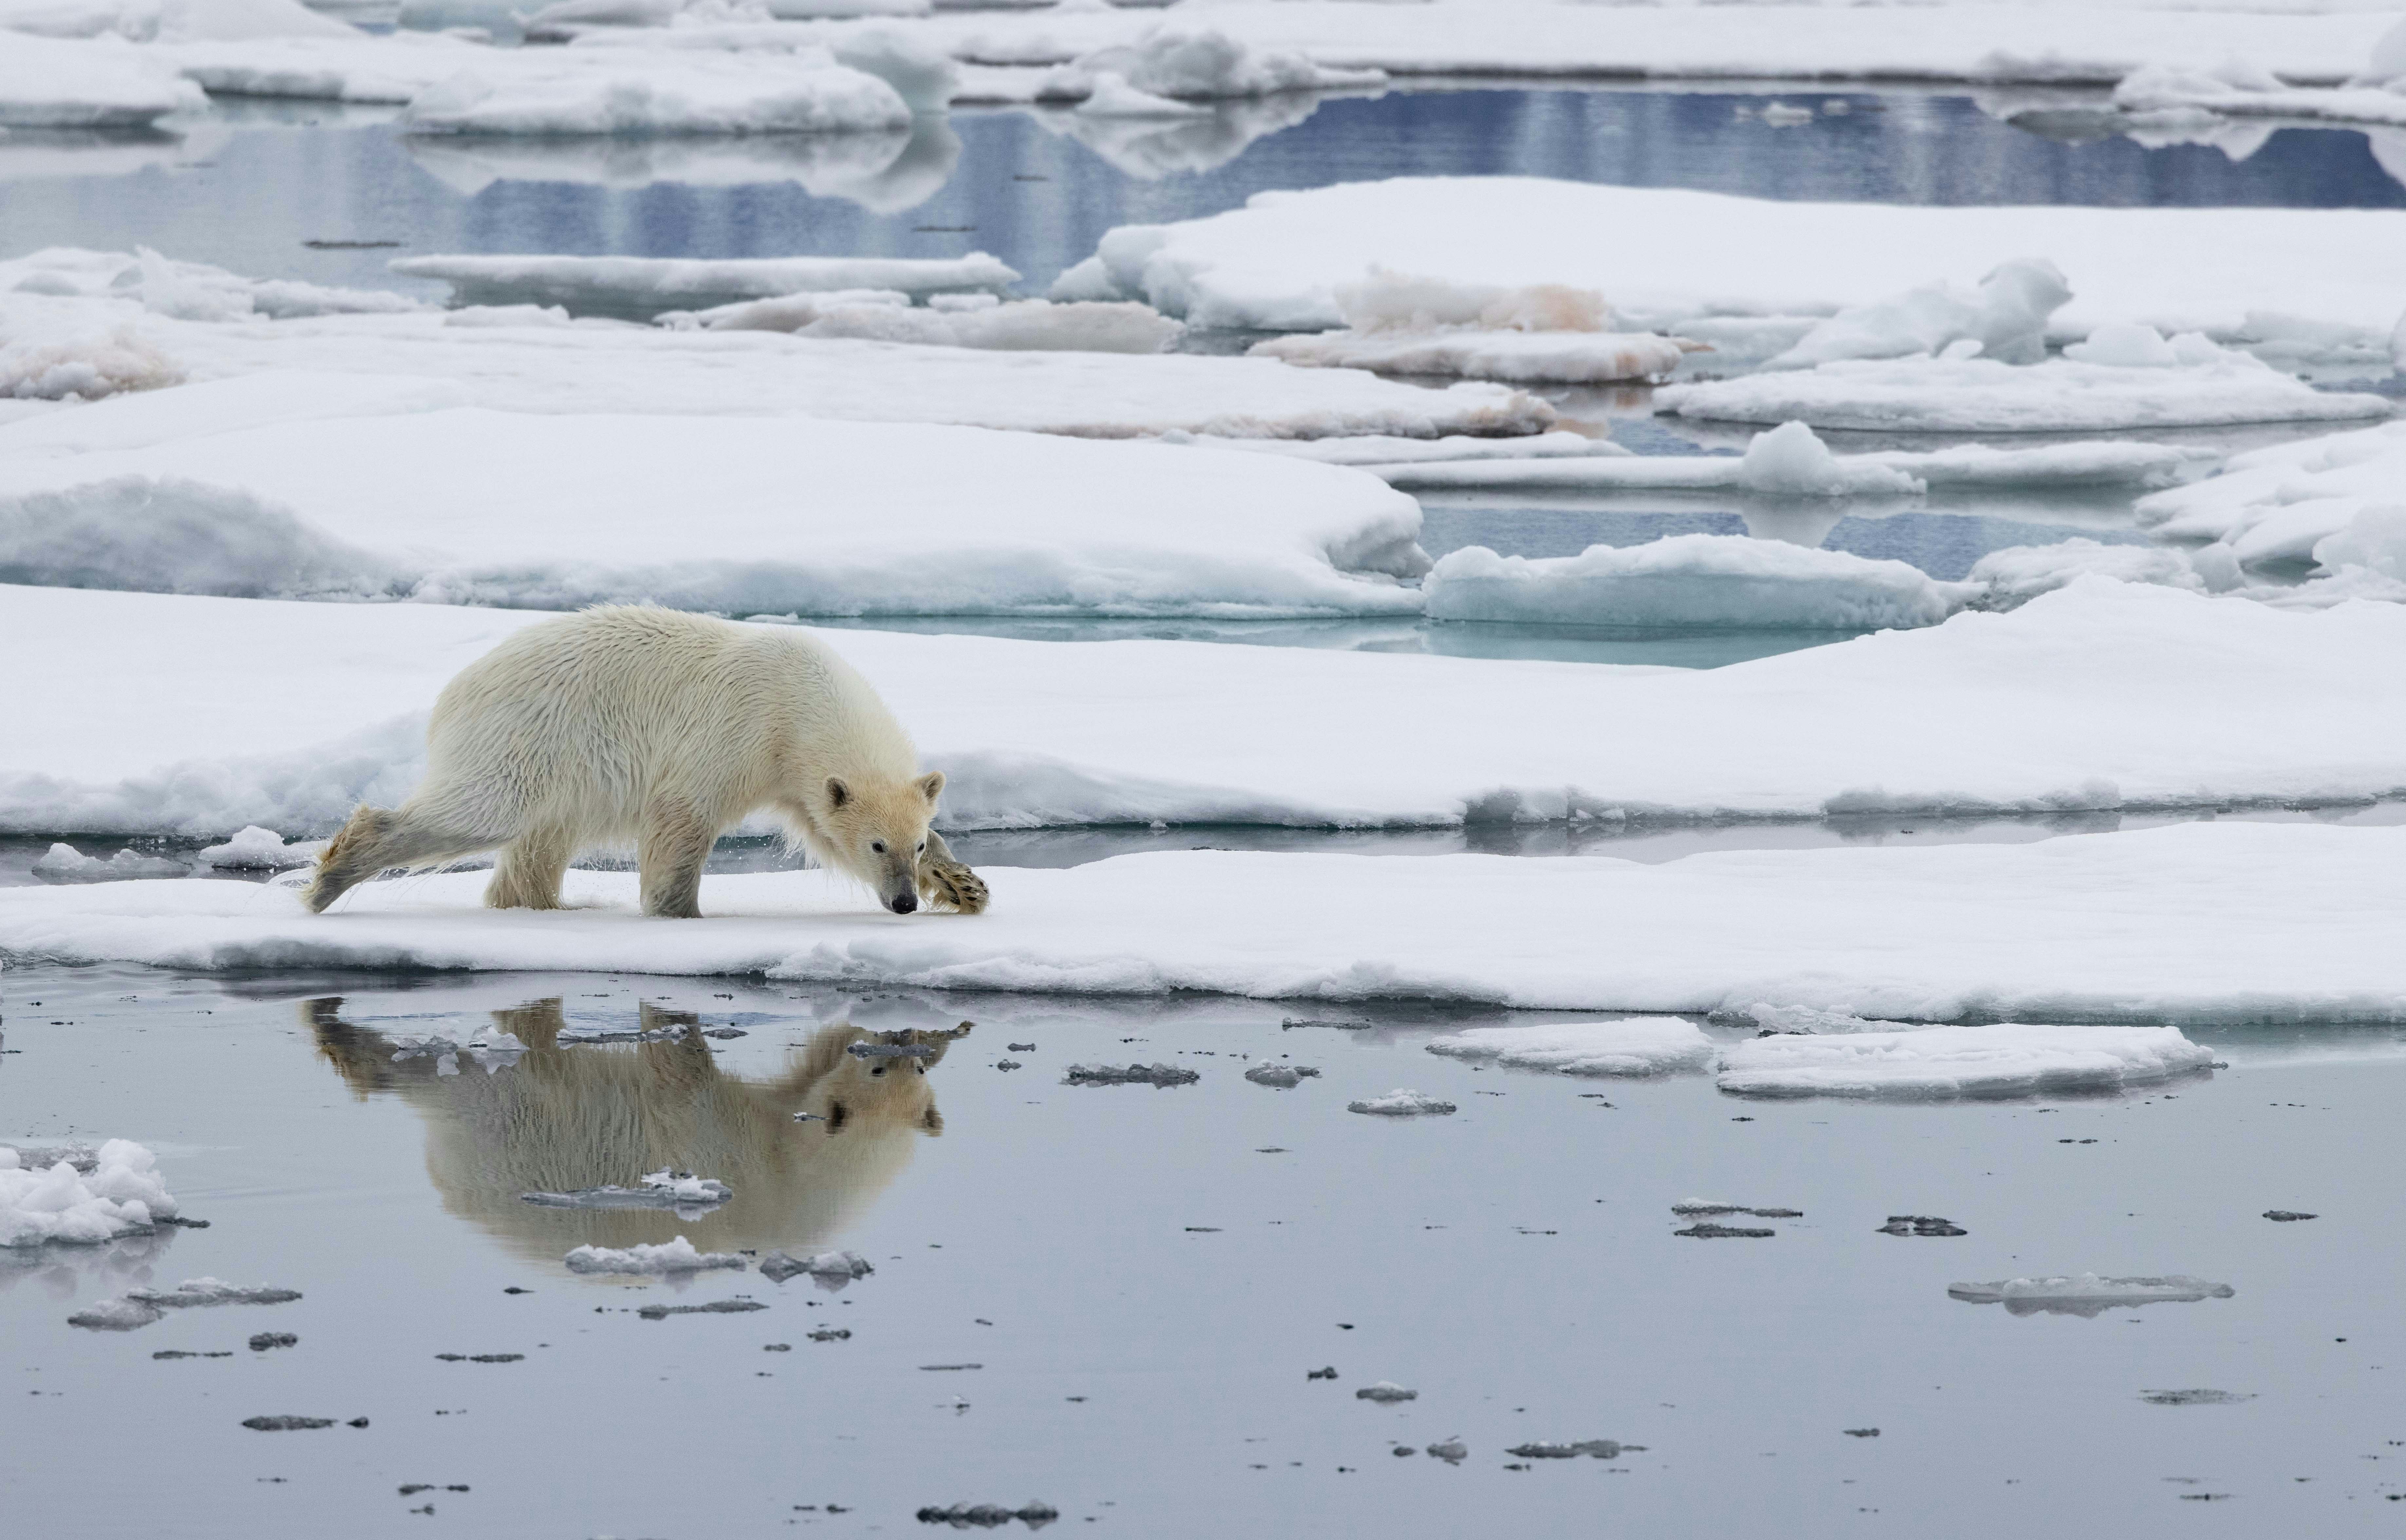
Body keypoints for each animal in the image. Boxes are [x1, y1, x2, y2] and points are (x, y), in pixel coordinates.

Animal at [302, 605, 986, 920]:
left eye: (914, 845)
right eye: (878, 845)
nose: (903, 902)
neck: (800, 697)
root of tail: (457, 688)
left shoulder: (794, 773)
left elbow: (819, 830)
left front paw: (964, 885)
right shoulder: (738, 732)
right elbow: (682, 818)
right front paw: (680, 913)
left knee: (540, 839)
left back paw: (542, 905)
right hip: (530, 737)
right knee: (481, 811)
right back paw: (333, 875)